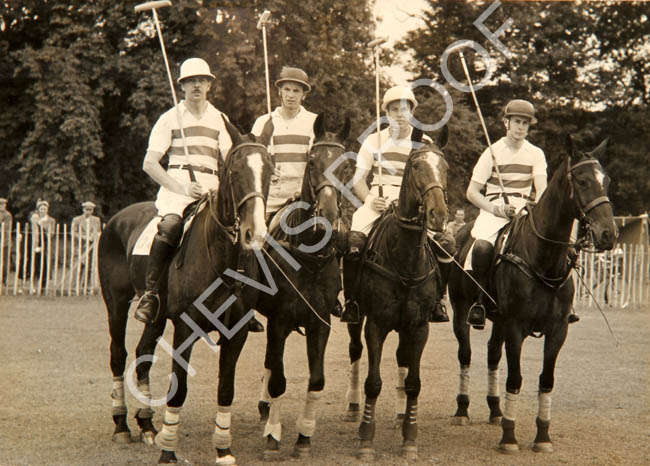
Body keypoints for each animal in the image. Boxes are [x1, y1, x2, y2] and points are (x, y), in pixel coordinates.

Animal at [98, 121, 274, 466]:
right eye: (234, 171)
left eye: (270, 171)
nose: (255, 233)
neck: (222, 258)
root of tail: (115, 219)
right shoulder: (186, 327)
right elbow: (178, 390)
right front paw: (169, 451)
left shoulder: (236, 334)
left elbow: (226, 389)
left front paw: (223, 450)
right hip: (116, 304)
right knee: (118, 355)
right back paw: (122, 425)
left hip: (156, 316)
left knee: (142, 354)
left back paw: (147, 425)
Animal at [253, 112, 350, 458]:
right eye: (312, 161)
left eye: (347, 166)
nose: (329, 214)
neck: (309, 257)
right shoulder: (280, 320)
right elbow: (279, 379)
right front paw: (273, 436)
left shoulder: (320, 322)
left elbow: (316, 380)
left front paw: (304, 437)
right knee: (270, 361)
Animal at [342, 125, 448, 460]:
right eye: (415, 165)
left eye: (445, 167)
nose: (438, 215)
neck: (405, 260)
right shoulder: (376, 323)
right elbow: (373, 382)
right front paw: (366, 438)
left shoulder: (420, 325)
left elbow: (414, 382)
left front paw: (410, 438)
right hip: (356, 316)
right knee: (355, 351)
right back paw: (353, 408)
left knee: (402, 356)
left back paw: (403, 415)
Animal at [446, 133, 616, 454]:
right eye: (583, 181)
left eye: (607, 180)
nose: (608, 234)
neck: (544, 260)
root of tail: (460, 232)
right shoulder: (516, 326)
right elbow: (515, 378)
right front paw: (509, 438)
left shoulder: (558, 329)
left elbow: (546, 380)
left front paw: (542, 437)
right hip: (462, 311)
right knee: (465, 354)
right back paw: (462, 410)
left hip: (498, 319)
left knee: (492, 354)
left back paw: (495, 410)